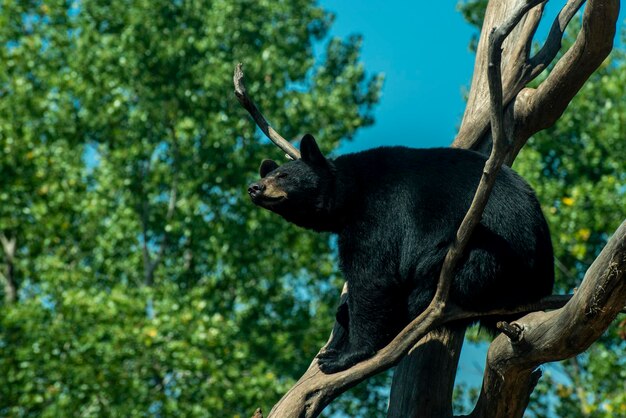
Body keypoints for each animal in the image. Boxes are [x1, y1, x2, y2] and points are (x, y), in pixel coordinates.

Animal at [246, 134, 552, 372]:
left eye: (283, 175)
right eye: (267, 173)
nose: (254, 187)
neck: (350, 193)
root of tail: (538, 286)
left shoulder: (379, 212)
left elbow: (373, 275)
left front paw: (344, 355)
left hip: (486, 253)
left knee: (430, 276)